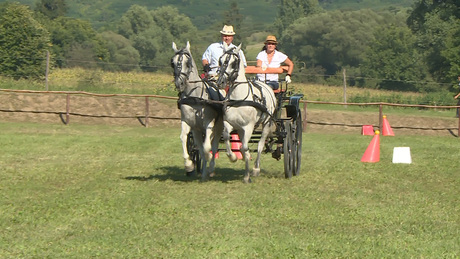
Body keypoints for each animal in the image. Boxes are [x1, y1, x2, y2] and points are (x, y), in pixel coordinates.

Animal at [172, 41, 224, 182]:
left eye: (188, 63)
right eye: (172, 62)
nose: (179, 83)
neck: (194, 97)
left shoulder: (209, 123)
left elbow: (207, 148)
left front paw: (209, 165)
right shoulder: (187, 122)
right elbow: (184, 138)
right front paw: (189, 166)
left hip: (218, 126)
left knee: (214, 145)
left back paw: (210, 169)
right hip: (197, 130)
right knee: (200, 147)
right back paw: (204, 173)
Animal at [217, 43, 276, 184]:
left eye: (234, 62)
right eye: (220, 61)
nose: (220, 82)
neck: (239, 98)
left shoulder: (248, 127)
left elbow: (245, 146)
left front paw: (246, 176)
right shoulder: (229, 123)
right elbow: (227, 138)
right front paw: (233, 157)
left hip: (266, 123)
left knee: (260, 145)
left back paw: (256, 169)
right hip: (240, 129)